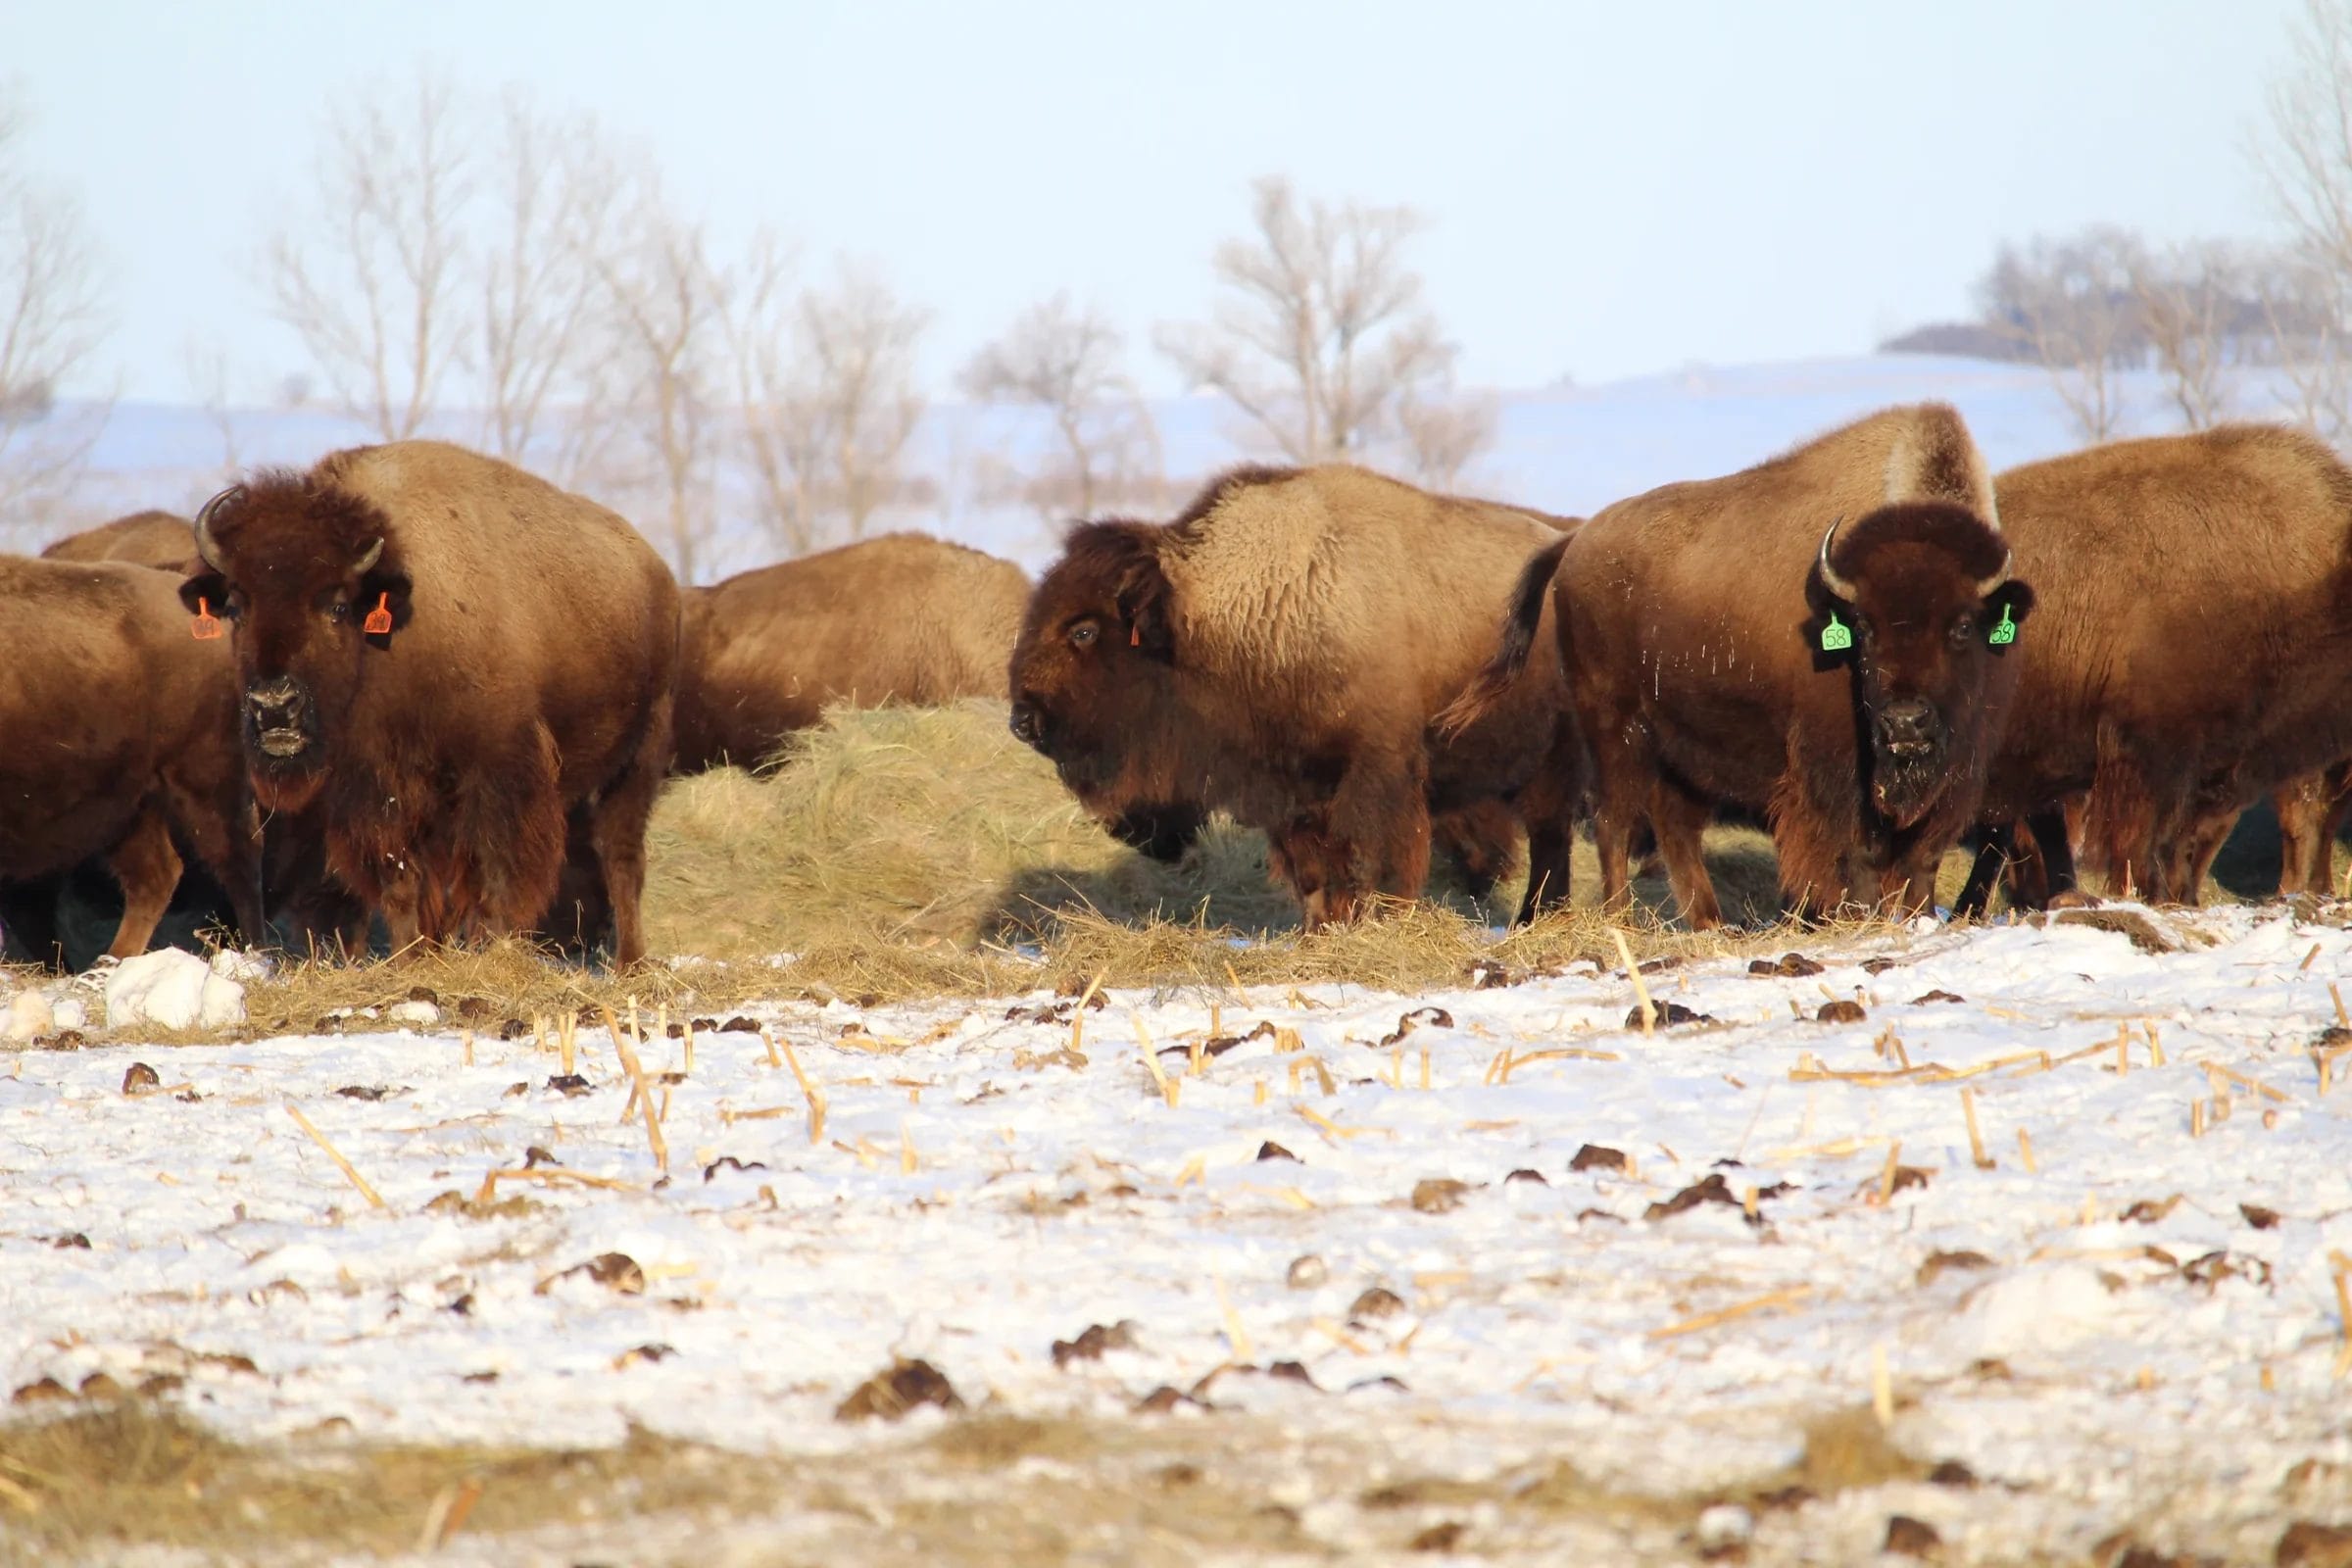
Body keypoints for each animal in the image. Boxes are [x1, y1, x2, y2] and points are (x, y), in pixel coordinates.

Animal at [179, 442, 679, 964]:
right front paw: (412, 957)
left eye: (336, 606)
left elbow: (493, 877)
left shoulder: (498, 773)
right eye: (237, 608)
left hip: (638, 759)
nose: (274, 705)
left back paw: (630, 964)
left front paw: (487, 952)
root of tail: (656, 570)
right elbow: (403, 883)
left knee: (621, 859)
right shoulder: (377, 791)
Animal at [1009, 464, 1583, 926]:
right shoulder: (1291, 789)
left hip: (1549, 765)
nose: (1023, 720)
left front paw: (1375, 923)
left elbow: (1371, 858)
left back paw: (1536, 919)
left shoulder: (1374, 773)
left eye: (1083, 631)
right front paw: (1319, 930)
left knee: (1549, 838)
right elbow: (1313, 869)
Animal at [1445, 403, 2029, 928]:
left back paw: (1709, 922)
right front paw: (1857, 918)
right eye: (1862, 627)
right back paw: (1620, 920)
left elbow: (1921, 858)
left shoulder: (1960, 767)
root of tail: (1576, 541)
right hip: (1613, 726)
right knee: (1615, 821)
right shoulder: (1837, 766)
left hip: (1676, 743)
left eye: (1962, 626)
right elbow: (1859, 851)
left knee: (1675, 827)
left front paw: (1917, 918)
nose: (1905, 721)